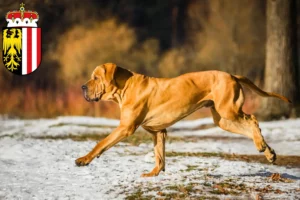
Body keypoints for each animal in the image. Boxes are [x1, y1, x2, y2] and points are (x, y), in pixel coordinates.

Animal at [75, 62, 290, 177]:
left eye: (95, 78)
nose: (82, 87)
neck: (125, 87)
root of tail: (232, 75)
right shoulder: (158, 131)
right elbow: (159, 155)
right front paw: (154, 174)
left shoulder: (125, 127)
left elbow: (101, 143)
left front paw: (84, 159)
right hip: (223, 119)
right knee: (249, 125)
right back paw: (268, 152)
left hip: (229, 110)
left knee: (252, 119)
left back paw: (262, 145)